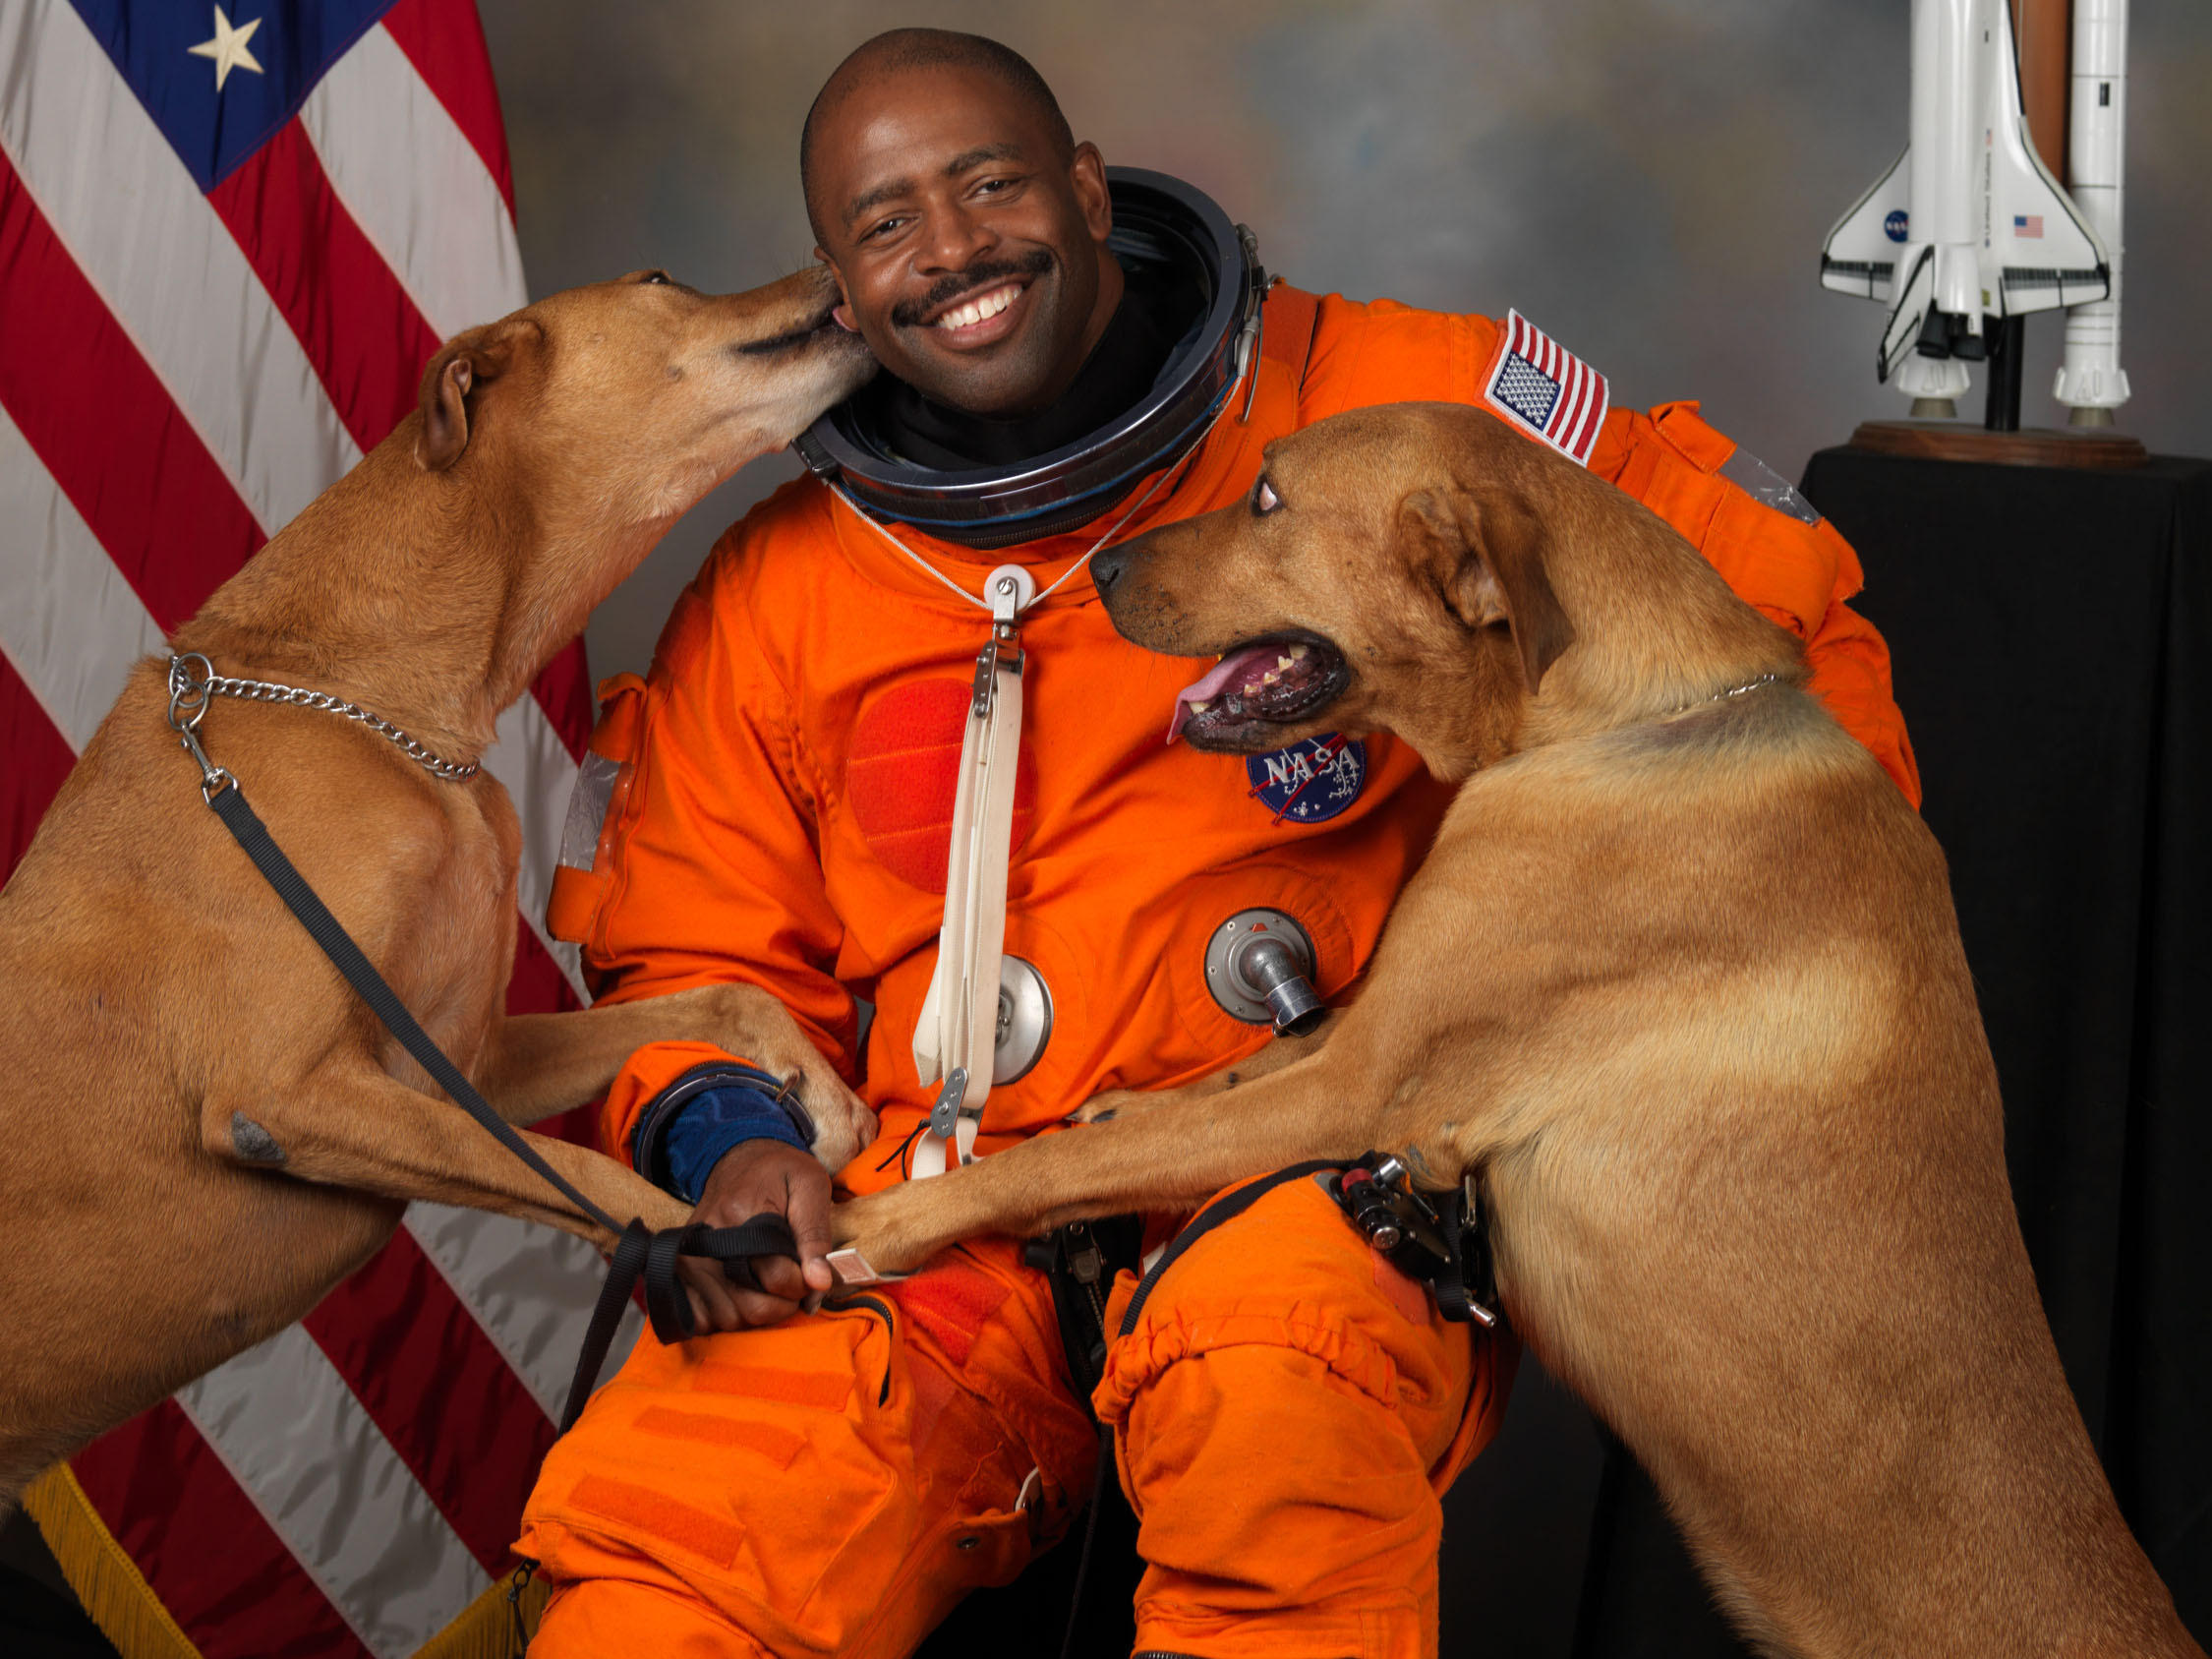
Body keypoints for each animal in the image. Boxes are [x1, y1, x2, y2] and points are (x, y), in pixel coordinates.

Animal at [0, 263, 880, 1521]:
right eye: (661, 280)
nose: (827, 265)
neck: (374, 705)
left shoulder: (467, 1065)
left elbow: (718, 997)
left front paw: (815, 1085)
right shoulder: (286, 1097)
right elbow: (593, 1178)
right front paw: (720, 1251)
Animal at [836, 402, 2203, 1659]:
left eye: (1269, 498)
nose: (1103, 567)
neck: (1619, 718)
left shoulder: (1362, 1091)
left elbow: (1078, 1155)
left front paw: (889, 1221)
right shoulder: (1360, 1033)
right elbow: (1218, 1077)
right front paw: (1128, 1104)